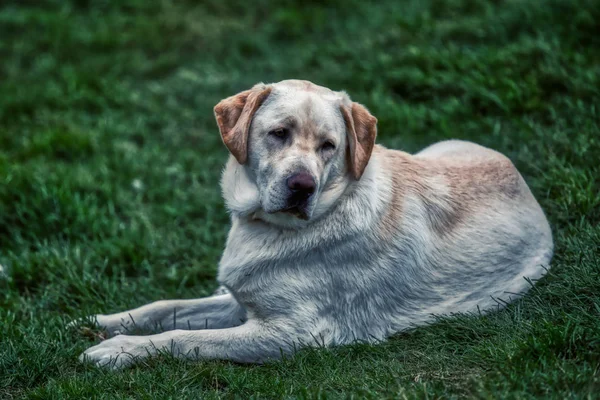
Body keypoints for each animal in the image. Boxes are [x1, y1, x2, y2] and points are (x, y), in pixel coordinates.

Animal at [75, 79, 552, 368]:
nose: (302, 186)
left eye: (328, 146)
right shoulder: (243, 302)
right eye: (278, 133)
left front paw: (117, 350)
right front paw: (103, 321)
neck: (268, 227)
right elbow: (166, 307)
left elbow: (184, 338)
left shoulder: (290, 332)